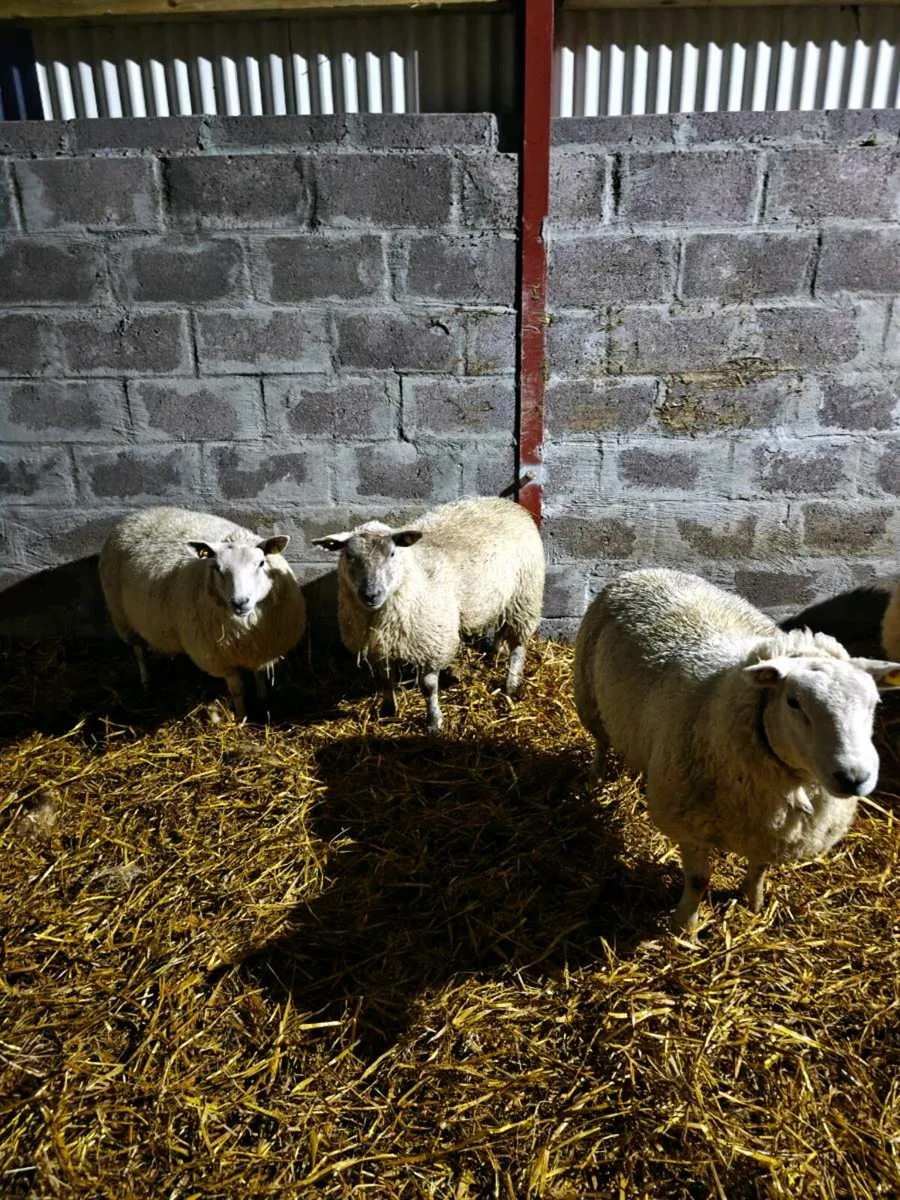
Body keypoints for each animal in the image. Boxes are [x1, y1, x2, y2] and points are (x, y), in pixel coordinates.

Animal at [99, 507, 306, 720]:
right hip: (122, 618)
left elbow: (260, 676)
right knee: (139, 652)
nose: (240, 602)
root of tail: (141, 513)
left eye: (261, 563)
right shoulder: (220, 660)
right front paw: (241, 716)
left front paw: (263, 701)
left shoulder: (262, 646)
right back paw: (146, 682)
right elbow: (237, 690)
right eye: (217, 567)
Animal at [312, 496, 545, 731]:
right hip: (502, 597)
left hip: (525, 595)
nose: (371, 595)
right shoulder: (381, 646)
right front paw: (388, 711)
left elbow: (428, 687)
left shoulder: (432, 644)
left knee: (518, 644)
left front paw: (434, 722)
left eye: (392, 553)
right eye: (349, 556)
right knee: (500, 627)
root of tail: (505, 502)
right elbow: (385, 680)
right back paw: (496, 653)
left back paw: (511, 684)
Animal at [574, 568, 900, 934]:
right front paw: (685, 926)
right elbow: (699, 880)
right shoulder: (689, 823)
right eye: (793, 702)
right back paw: (596, 778)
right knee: (601, 742)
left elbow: (759, 869)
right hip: (589, 697)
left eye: (875, 703)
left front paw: (753, 902)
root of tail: (647, 571)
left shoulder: (769, 832)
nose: (854, 777)